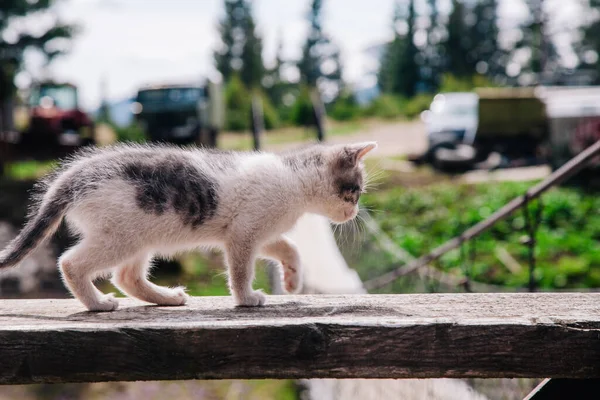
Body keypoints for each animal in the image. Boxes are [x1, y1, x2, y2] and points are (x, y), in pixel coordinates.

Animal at [0, 141, 376, 312]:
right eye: (354, 191)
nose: (354, 212)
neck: (293, 181)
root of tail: (75, 177)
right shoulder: (243, 234)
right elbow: (241, 269)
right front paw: (246, 298)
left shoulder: (256, 230)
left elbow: (289, 246)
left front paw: (292, 279)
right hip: (121, 235)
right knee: (70, 263)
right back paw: (97, 303)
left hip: (137, 237)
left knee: (127, 276)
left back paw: (165, 298)